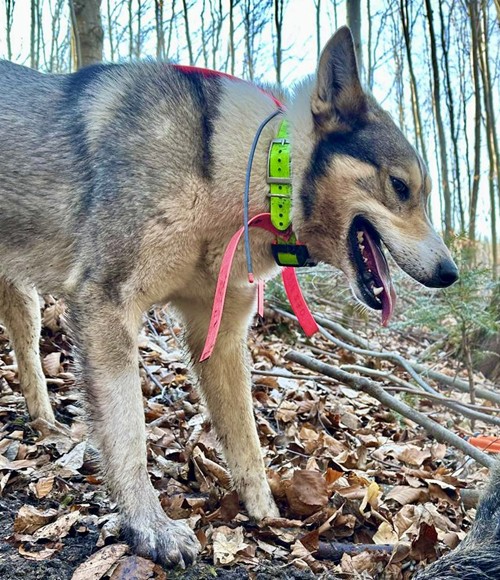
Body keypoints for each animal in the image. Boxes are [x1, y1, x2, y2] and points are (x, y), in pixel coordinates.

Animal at [0, 27, 458, 567]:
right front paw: (149, 525)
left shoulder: (218, 334)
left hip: (21, 298)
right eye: (400, 186)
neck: (244, 170)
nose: (451, 273)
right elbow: (128, 433)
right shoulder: (107, 307)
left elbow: (246, 440)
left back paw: (45, 422)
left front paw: (267, 515)